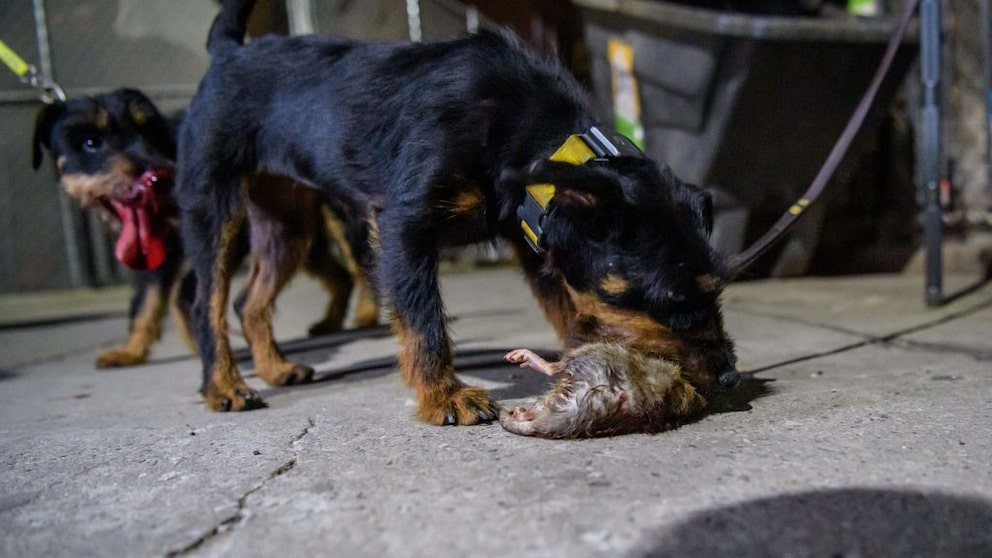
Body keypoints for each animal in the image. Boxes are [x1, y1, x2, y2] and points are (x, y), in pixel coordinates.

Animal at [33, 88, 378, 376]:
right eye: (90, 143)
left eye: (150, 132)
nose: (156, 175)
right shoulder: (156, 247)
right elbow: (147, 301)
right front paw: (131, 351)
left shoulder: (232, 230)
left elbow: (187, 290)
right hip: (295, 227)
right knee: (338, 273)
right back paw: (330, 321)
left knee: (359, 263)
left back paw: (366, 312)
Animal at [176, 0, 736, 424]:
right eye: (671, 299)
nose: (729, 375)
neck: (536, 136)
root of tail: (228, 52)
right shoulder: (404, 227)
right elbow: (424, 321)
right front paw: (444, 396)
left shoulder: (534, 241)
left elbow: (569, 309)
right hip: (212, 209)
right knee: (207, 305)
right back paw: (224, 386)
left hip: (288, 223)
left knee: (249, 301)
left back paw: (274, 368)